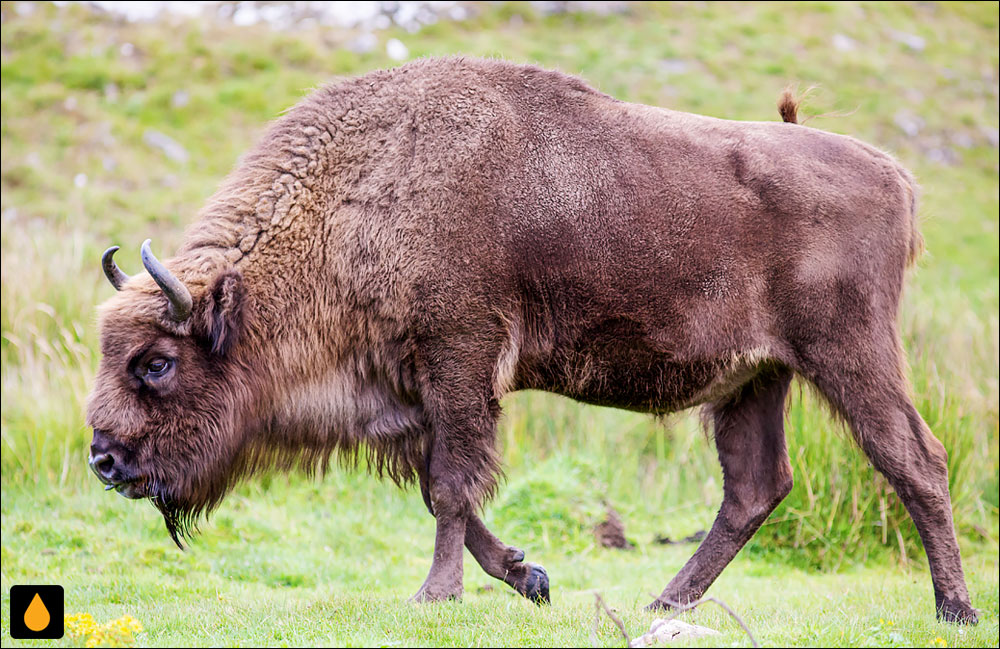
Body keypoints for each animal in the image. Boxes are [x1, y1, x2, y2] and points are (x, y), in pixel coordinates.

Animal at [86, 58, 976, 620]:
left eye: (156, 362)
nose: (103, 459)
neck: (361, 198)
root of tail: (893, 174)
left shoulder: (458, 362)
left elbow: (451, 487)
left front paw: (436, 594)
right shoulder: (413, 393)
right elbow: (445, 489)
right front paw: (530, 576)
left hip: (849, 354)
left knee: (915, 460)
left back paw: (955, 609)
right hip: (756, 378)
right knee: (756, 485)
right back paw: (664, 600)